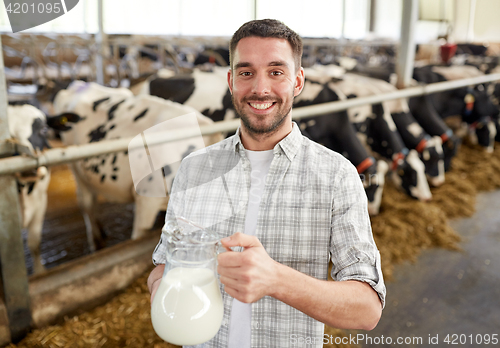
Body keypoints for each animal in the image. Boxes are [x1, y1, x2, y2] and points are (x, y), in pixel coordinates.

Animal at [47, 82, 222, 253]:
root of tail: (77, 84)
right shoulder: (146, 199)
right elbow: (137, 239)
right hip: (76, 168)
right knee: (86, 203)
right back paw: (97, 242)